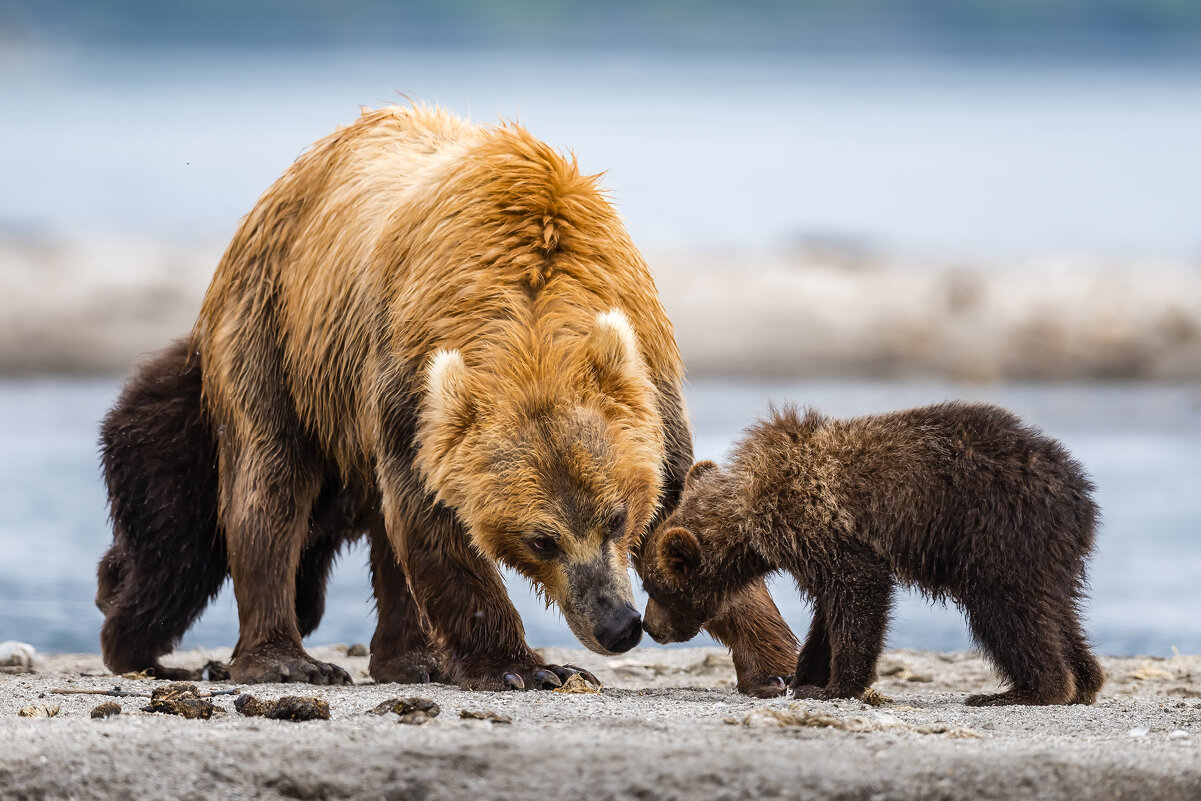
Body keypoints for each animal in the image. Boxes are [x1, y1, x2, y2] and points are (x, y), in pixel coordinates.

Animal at [98, 106, 802, 691]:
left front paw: (778, 663)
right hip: (275, 331)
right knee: (263, 486)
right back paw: (285, 659)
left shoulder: (646, 368)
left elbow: (685, 503)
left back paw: (413, 659)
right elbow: (431, 518)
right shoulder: (410, 380)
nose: (617, 625)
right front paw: (525, 668)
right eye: (541, 540)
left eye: (618, 516)